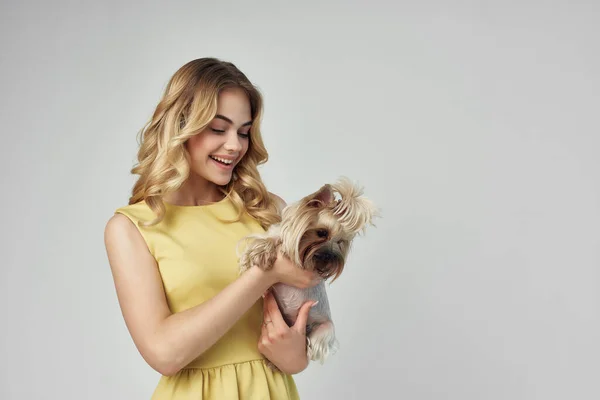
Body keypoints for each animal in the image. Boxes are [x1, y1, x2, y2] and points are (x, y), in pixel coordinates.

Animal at [238, 178, 376, 366]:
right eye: (322, 232)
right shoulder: (277, 234)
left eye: (340, 242)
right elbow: (268, 239)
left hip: (325, 328)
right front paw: (257, 254)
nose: (330, 257)